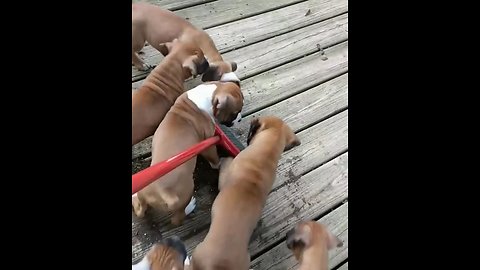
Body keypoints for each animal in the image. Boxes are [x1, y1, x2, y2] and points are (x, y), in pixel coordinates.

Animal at [131, 81, 244, 226]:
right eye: (235, 113)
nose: (240, 119)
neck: (211, 95)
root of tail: (161, 192)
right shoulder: (207, 142)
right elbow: (213, 157)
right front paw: (218, 164)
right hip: (187, 190)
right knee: (177, 219)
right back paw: (189, 207)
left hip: (143, 195)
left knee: (141, 208)